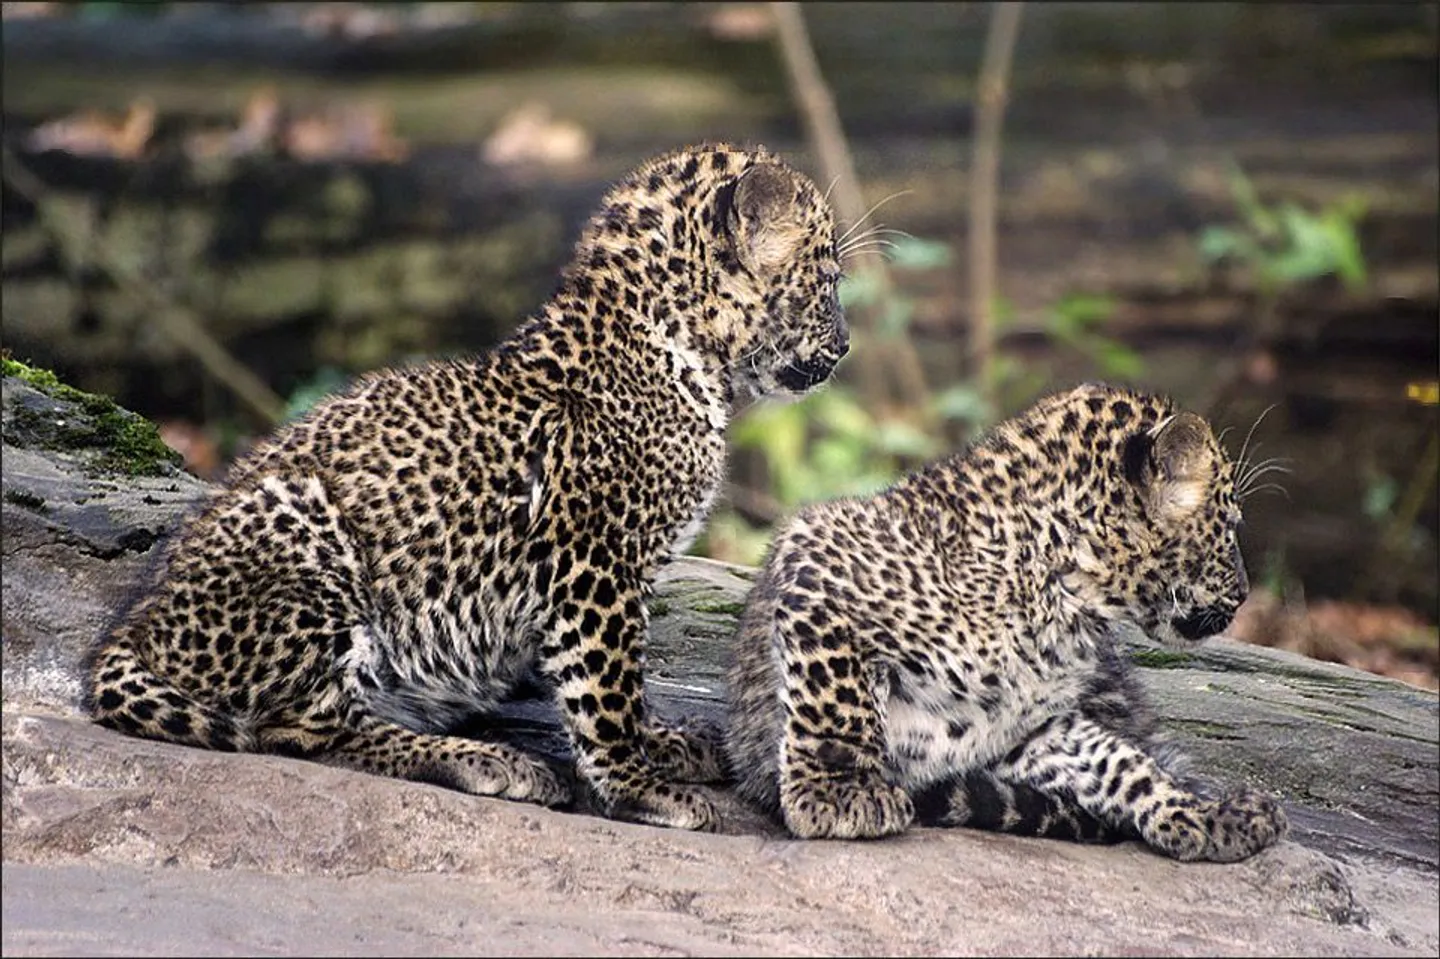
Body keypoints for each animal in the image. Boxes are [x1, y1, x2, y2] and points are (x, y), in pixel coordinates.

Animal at [85, 141, 849, 833]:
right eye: (830, 279)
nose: (845, 347)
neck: (685, 353)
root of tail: (137, 627)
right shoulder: (594, 564)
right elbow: (604, 689)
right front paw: (641, 789)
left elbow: (615, 687)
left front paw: (663, 743)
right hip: (303, 525)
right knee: (298, 727)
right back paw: (486, 761)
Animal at [725, 381, 1288, 861]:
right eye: (1230, 527)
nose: (1245, 593)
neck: (1066, 600)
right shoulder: (817, 555)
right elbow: (838, 702)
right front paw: (840, 796)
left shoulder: (1023, 728)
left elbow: (1116, 765)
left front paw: (1204, 814)